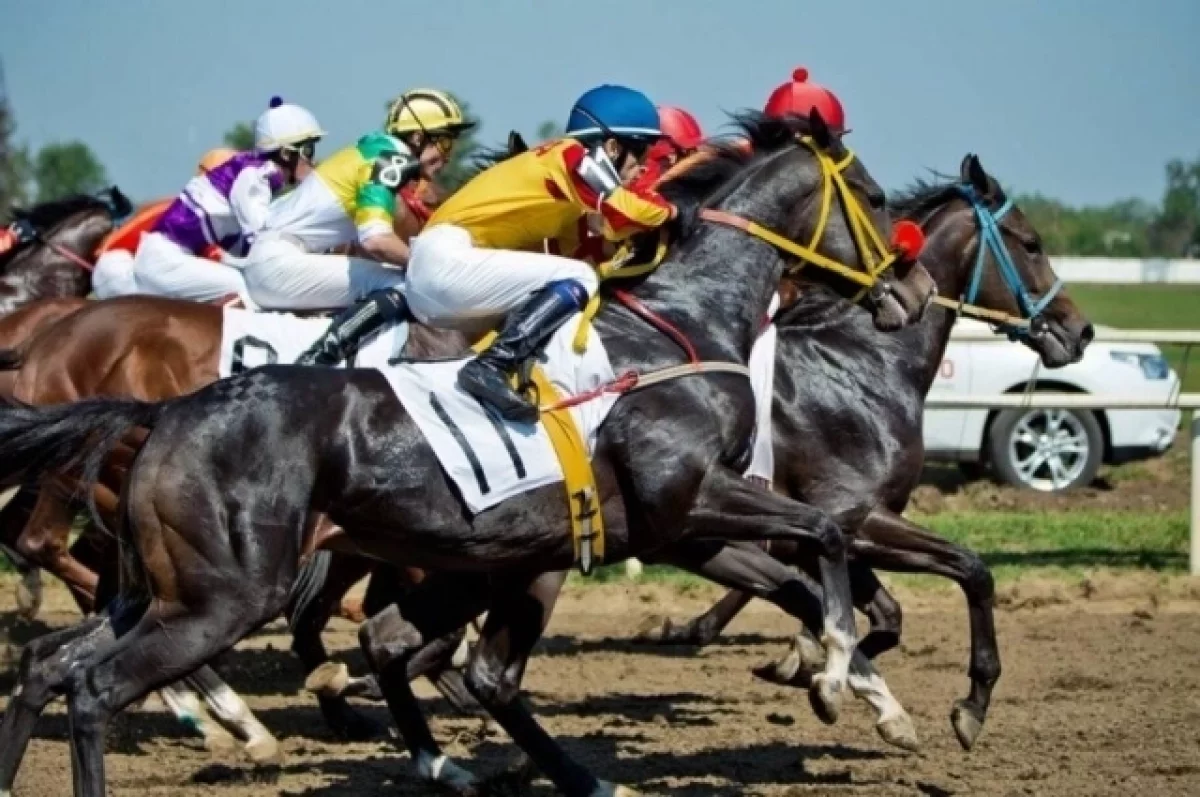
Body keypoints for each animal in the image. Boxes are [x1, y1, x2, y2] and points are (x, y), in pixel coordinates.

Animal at [0, 113, 931, 797]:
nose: (913, 291)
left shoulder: (667, 529)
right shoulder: (688, 500)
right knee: (94, 684)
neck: (684, 324)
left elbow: (812, 563)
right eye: (874, 196)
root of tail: (163, 412)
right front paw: (839, 678)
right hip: (223, 594)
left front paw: (856, 684)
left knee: (51, 661)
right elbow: (827, 538)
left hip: (168, 587)